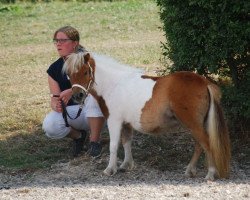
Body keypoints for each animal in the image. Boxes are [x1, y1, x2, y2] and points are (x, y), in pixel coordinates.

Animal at [62, 51, 230, 180]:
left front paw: (110, 169)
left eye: (85, 72)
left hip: (193, 124)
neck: (115, 84)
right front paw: (126, 165)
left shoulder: (114, 121)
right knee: (199, 145)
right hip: (195, 125)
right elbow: (126, 142)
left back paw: (210, 174)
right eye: (69, 74)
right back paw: (190, 170)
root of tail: (204, 82)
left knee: (206, 144)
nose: (77, 96)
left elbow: (114, 145)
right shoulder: (126, 123)